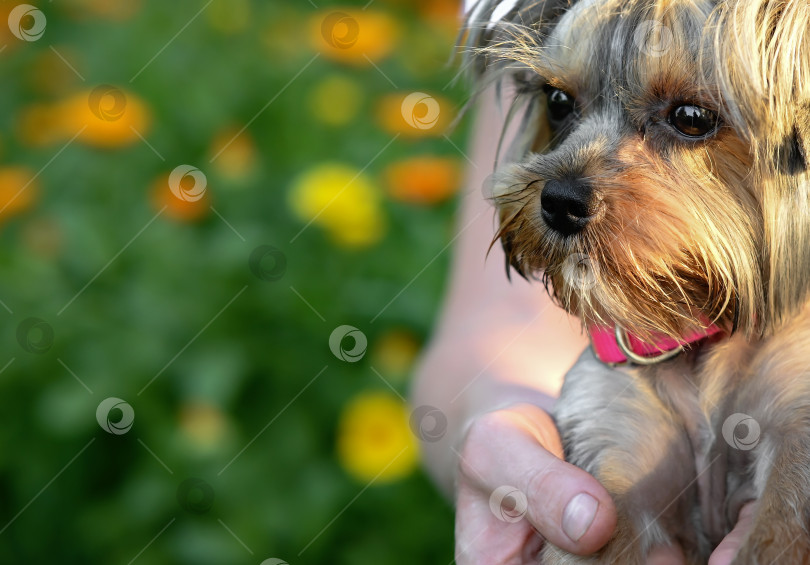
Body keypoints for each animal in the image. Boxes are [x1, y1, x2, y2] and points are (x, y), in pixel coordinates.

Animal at [464, 0, 808, 560]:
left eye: (691, 118)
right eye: (557, 101)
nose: (559, 201)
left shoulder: (797, 420)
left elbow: (779, 532)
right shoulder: (612, 444)